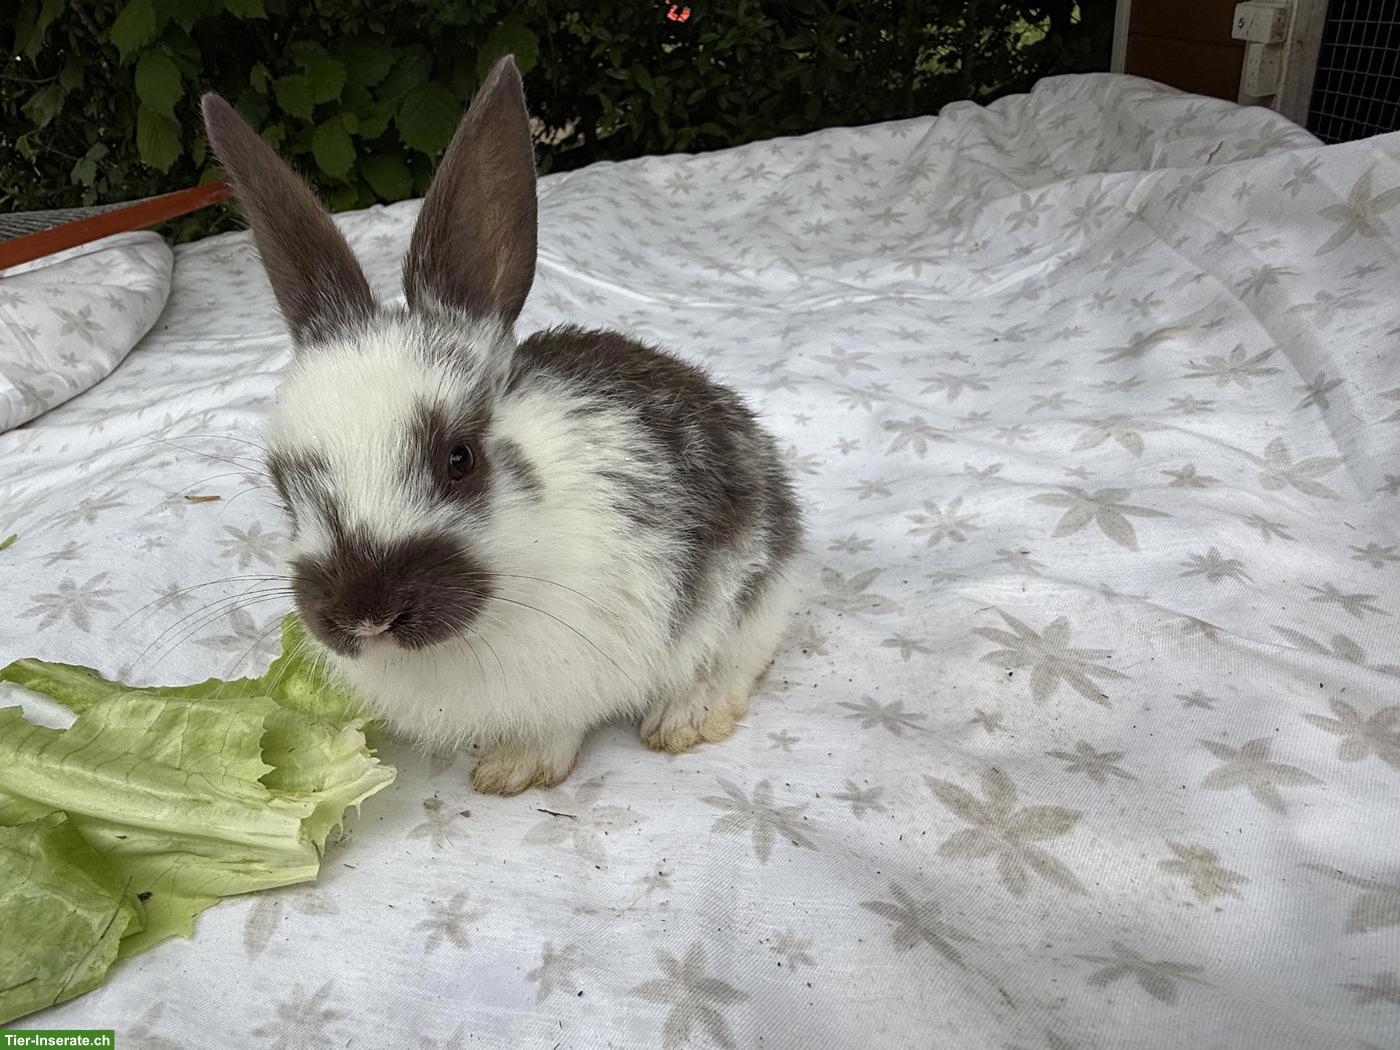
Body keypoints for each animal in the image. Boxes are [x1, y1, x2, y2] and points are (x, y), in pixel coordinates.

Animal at [200, 55, 803, 795]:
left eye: (459, 459)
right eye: (285, 494)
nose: (365, 615)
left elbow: (558, 724)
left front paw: (514, 771)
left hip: (752, 589)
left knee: (737, 657)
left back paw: (686, 717)